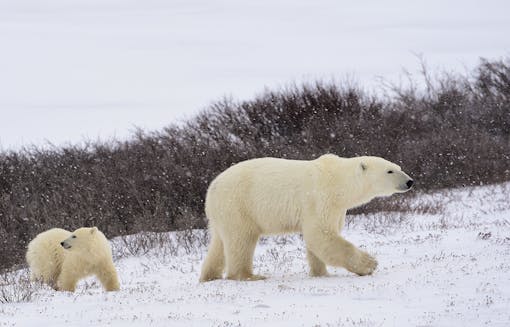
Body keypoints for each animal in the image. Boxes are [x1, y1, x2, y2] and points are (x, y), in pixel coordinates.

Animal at [199, 155, 414, 284]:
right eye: (389, 171)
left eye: (398, 166)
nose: (410, 181)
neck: (338, 181)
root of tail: (212, 188)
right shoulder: (320, 197)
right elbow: (320, 234)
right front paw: (370, 264)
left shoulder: (337, 208)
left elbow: (320, 239)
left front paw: (321, 272)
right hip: (238, 205)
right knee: (241, 240)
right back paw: (250, 276)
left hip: (222, 214)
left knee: (219, 243)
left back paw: (209, 276)